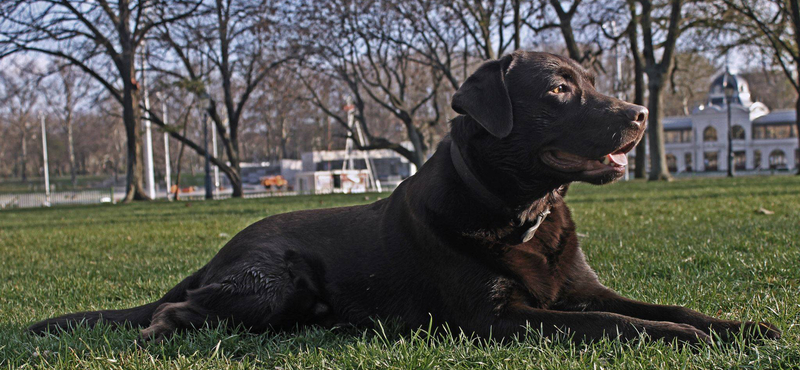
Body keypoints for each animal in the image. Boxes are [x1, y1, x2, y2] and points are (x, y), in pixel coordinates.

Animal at [32, 51, 780, 344]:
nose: (642, 114)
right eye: (559, 89)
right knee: (177, 311)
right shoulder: (498, 319)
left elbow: (661, 306)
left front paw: (741, 329)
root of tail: (222, 250)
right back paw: (166, 329)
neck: (521, 216)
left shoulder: (577, 289)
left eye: (591, 79)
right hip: (274, 280)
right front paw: (685, 339)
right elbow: (618, 323)